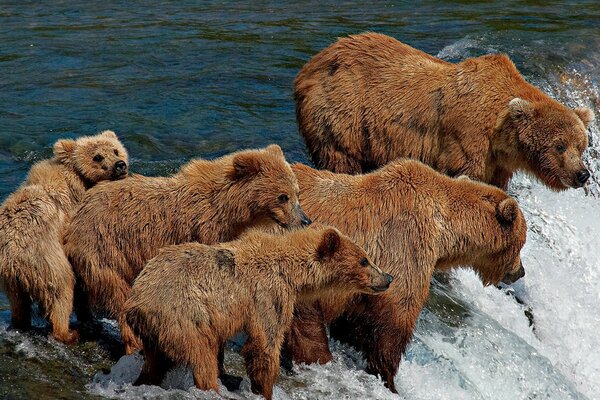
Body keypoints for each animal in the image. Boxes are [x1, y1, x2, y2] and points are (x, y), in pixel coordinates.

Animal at [0, 131, 126, 344]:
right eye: (98, 157)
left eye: (116, 150)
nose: (120, 165)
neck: (80, 182)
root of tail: (13, 253)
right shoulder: (75, 216)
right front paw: (89, 318)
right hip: (46, 260)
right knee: (62, 290)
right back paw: (67, 333)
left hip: (10, 277)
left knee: (18, 302)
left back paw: (19, 323)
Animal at [63, 144, 312, 354]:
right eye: (282, 197)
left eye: (297, 193)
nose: (305, 220)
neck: (230, 208)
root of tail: (77, 214)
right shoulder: (205, 230)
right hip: (107, 245)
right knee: (117, 291)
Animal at [124, 225, 392, 400]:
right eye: (364, 260)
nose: (388, 278)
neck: (292, 272)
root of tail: (135, 301)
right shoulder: (268, 294)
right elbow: (265, 344)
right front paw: (264, 389)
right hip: (183, 318)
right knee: (203, 358)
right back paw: (212, 388)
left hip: (156, 333)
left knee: (155, 364)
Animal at [284, 160, 524, 394]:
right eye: (521, 243)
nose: (520, 272)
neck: (444, 231)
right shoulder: (404, 246)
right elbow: (392, 322)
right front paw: (389, 380)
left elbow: (354, 325)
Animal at [292, 31, 592, 191]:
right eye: (559, 146)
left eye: (581, 145)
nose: (583, 174)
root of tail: (310, 65)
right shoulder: (468, 139)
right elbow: (462, 174)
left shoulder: (497, 162)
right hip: (344, 111)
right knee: (340, 156)